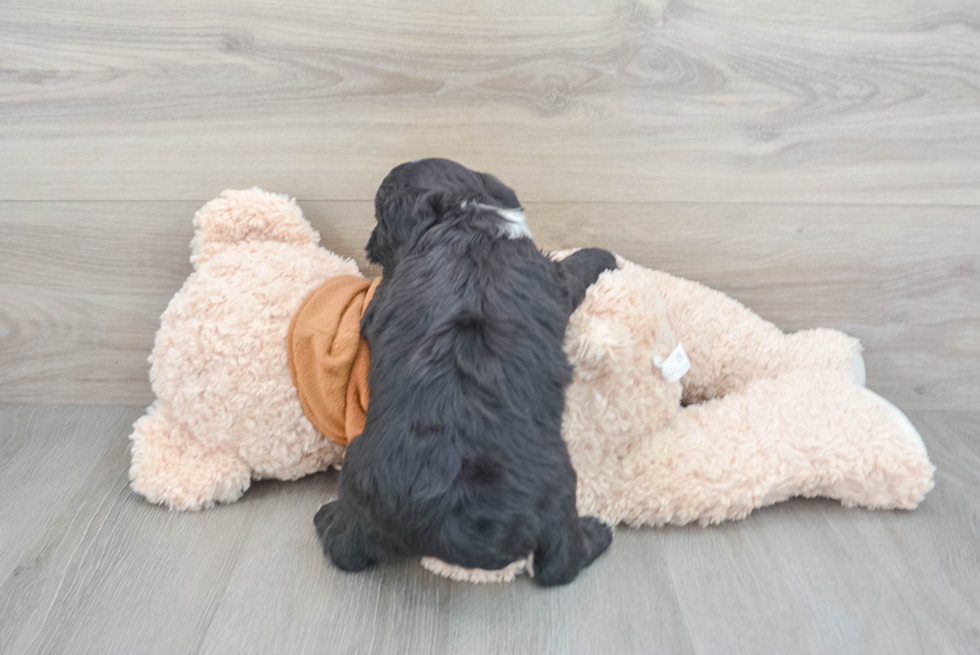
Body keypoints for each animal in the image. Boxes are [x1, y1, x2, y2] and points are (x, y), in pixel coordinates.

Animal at [318, 160, 616, 588]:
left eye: (378, 216)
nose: (369, 244)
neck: (462, 215)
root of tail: (452, 522)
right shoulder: (554, 279)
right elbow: (574, 269)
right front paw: (606, 256)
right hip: (559, 490)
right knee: (559, 565)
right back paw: (598, 533)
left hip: (361, 474)